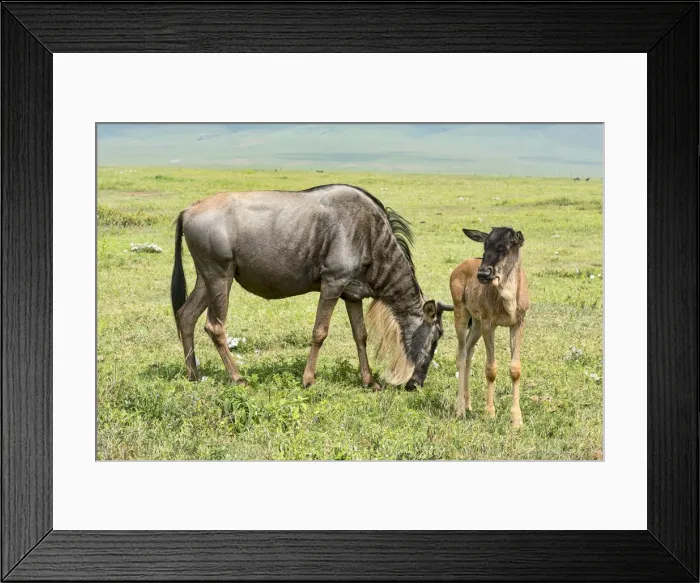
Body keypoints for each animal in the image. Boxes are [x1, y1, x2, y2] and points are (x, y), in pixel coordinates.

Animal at [449, 227, 530, 428]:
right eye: (485, 245)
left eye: (505, 247)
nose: (483, 273)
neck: (508, 300)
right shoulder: (489, 324)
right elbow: (491, 369)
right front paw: (489, 413)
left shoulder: (518, 323)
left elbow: (515, 369)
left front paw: (516, 419)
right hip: (461, 313)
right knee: (461, 354)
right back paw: (460, 409)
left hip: (476, 324)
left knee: (469, 350)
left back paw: (468, 404)